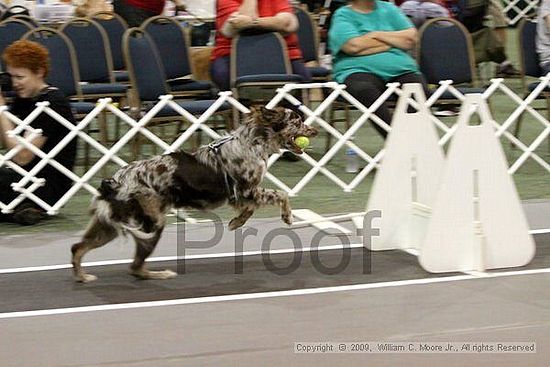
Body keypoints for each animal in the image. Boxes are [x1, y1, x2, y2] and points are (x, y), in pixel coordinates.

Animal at [71, 108, 320, 284]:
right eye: (298, 121)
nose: (315, 131)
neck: (253, 142)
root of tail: (115, 181)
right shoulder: (247, 190)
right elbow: (281, 194)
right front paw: (287, 216)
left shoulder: (240, 195)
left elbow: (249, 208)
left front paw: (236, 222)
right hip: (152, 223)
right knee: (135, 267)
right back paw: (160, 275)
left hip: (109, 226)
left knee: (78, 248)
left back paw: (82, 277)